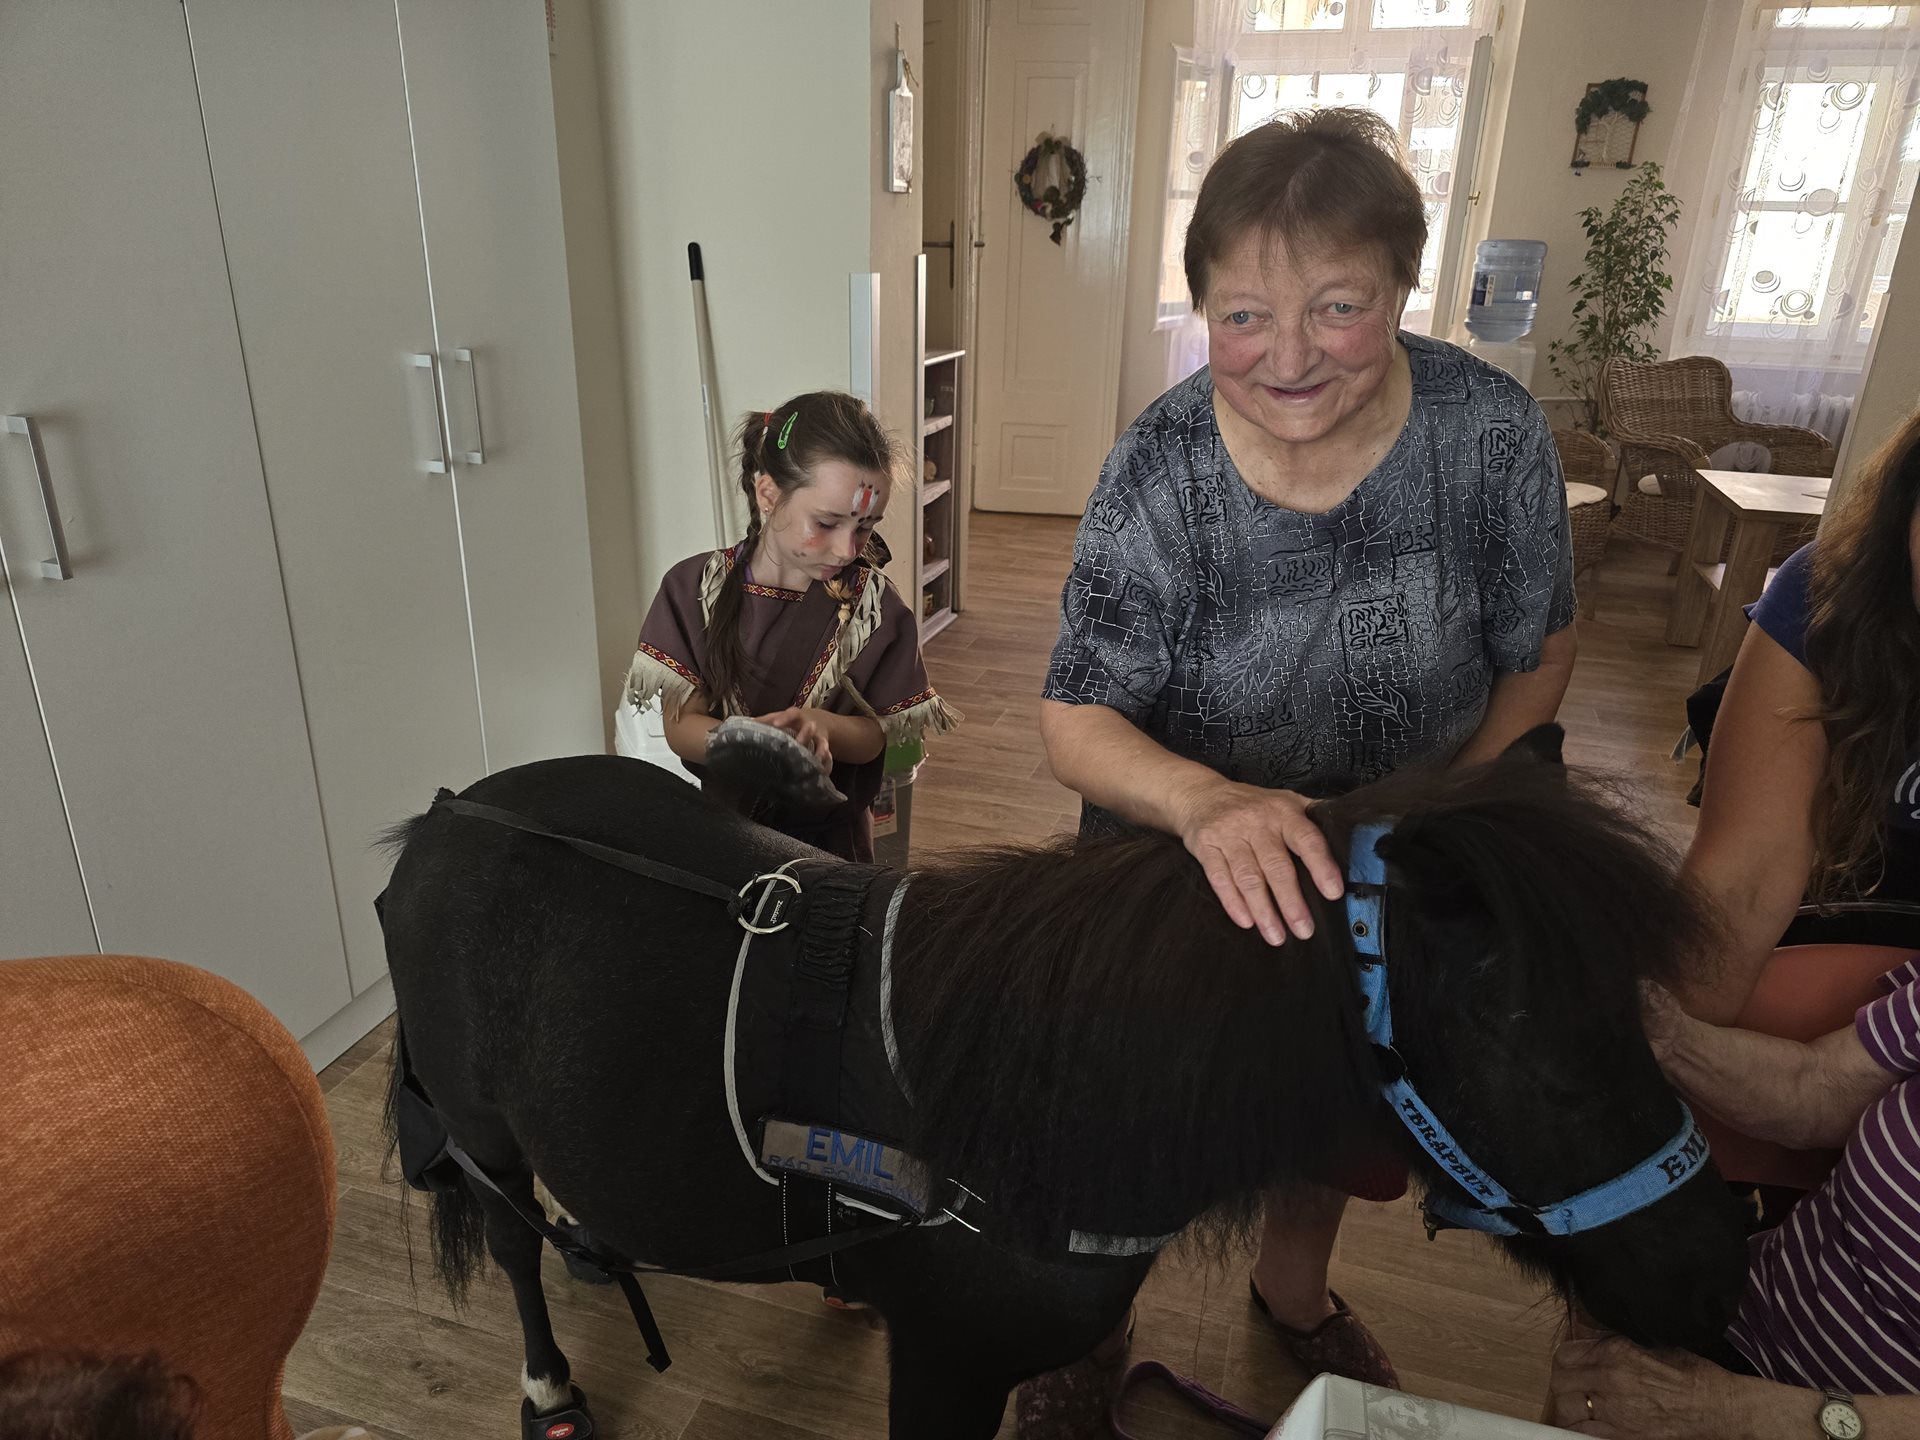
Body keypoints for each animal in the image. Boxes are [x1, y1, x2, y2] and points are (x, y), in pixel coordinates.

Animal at [377, 726, 1748, 1439]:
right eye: (1548, 1062)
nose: (1720, 1275)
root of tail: (445, 818)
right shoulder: (945, 1370)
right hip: (484, 1135)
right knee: (510, 1245)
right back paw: (549, 1381)